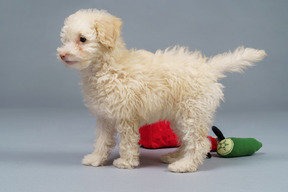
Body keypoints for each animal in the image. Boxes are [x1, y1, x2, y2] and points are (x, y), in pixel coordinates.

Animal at [56, 9, 266, 172]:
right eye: (65, 40)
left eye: (82, 39)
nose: (62, 54)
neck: (108, 67)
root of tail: (208, 68)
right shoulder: (105, 116)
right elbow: (102, 139)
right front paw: (96, 159)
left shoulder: (126, 117)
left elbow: (127, 141)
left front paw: (126, 162)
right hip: (179, 117)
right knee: (187, 140)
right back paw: (175, 157)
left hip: (192, 113)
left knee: (199, 142)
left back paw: (184, 165)